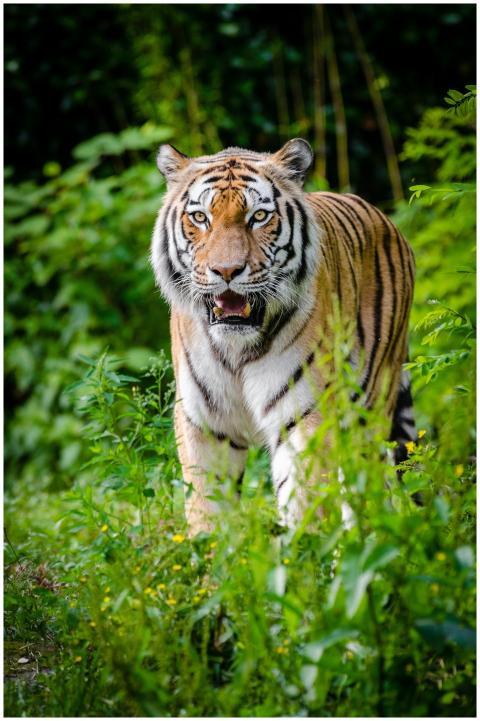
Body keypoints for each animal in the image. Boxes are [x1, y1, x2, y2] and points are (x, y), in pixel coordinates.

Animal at [151, 138, 416, 535]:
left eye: (259, 216)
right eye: (200, 218)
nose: (226, 271)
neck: (236, 348)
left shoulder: (303, 415)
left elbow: (305, 501)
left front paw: (304, 549)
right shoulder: (204, 422)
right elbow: (206, 509)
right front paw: (208, 550)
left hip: (369, 408)